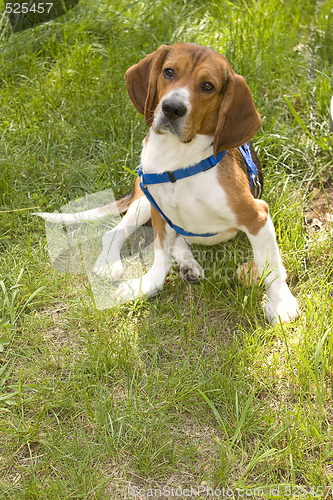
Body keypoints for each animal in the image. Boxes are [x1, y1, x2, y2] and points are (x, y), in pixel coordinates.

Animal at [37, 43, 300, 324]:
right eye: (169, 72)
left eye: (208, 86)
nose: (172, 108)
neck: (178, 162)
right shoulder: (158, 211)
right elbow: (159, 255)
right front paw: (147, 285)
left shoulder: (257, 215)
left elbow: (270, 267)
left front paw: (281, 303)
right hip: (143, 201)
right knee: (115, 232)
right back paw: (112, 262)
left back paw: (187, 264)